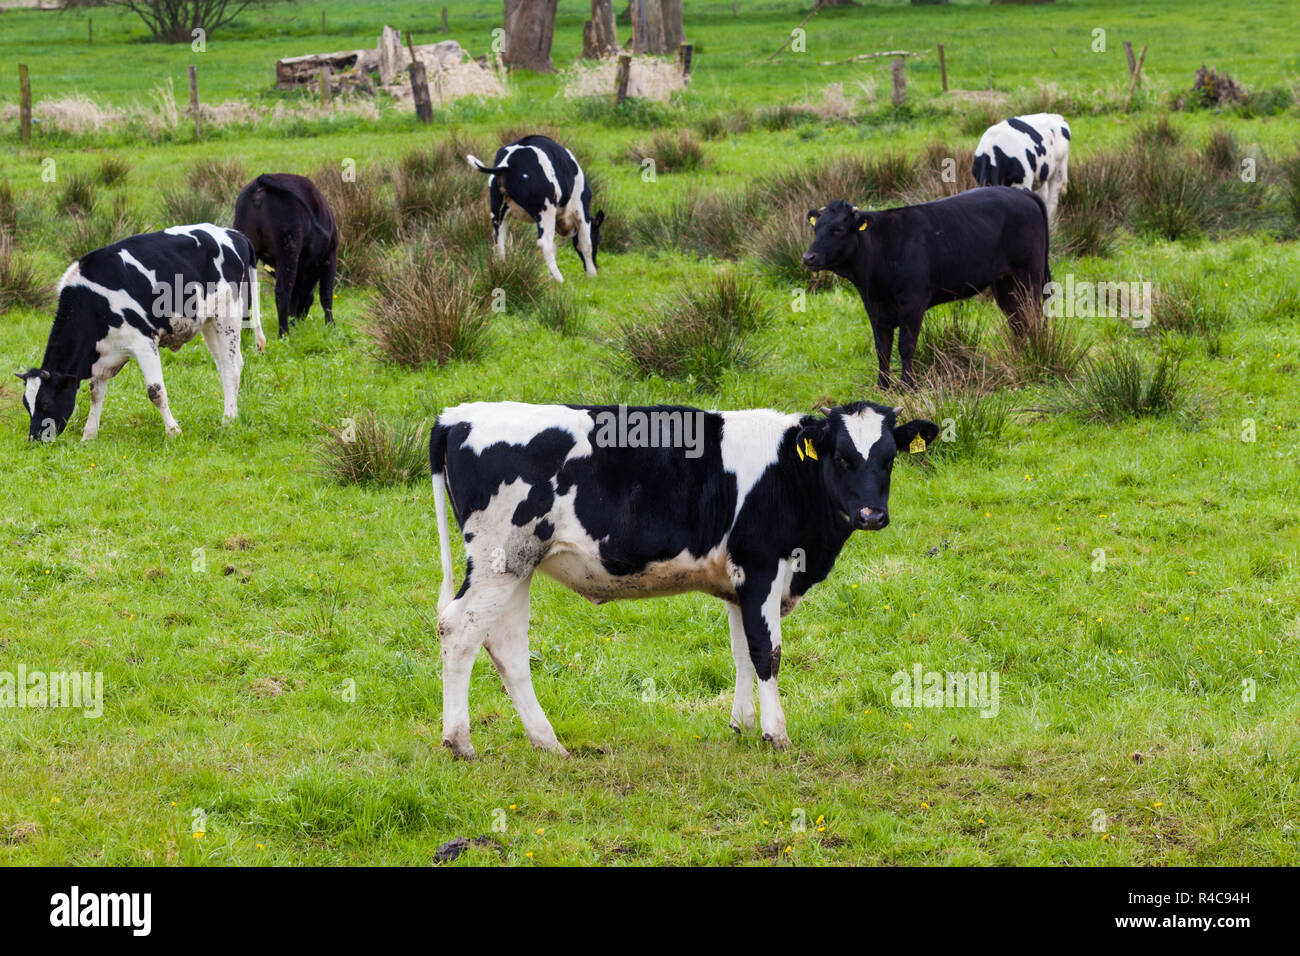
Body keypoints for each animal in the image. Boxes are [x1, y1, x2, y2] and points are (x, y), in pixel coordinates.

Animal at [17, 224, 263, 442]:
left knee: (232, 367)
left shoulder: (144, 342)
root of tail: (234, 234)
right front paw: (89, 435)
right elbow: (96, 392)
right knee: (224, 365)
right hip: (209, 323)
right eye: (26, 404)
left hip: (228, 314)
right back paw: (231, 415)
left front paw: (173, 432)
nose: (34, 439)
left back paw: (228, 420)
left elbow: (155, 391)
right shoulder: (102, 352)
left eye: (45, 402)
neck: (95, 302)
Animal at [232, 173, 338, 337]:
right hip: (288, 249)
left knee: (246, 290)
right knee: (282, 291)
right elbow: (326, 295)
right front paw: (331, 326)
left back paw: (246, 333)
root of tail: (261, 182)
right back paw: (283, 334)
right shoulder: (330, 257)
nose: (300, 319)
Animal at [429, 399, 938, 758]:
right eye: (842, 458)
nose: (872, 515)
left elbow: (741, 652)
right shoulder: (761, 567)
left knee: (507, 647)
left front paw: (742, 725)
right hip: (499, 559)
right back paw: (460, 742)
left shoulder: (737, 583)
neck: (789, 476)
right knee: (459, 629)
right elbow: (767, 652)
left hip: (518, 564)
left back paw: (548, 743)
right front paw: (775, 733)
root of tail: (459, 415)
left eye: (889, 458)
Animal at [465, 135, 604, 283]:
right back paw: (560, 279)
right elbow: (586, 243)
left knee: (499, 243)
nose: (596, 266)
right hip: (547, 209)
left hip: (498, 213)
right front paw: (592, 275)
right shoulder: (581, 210)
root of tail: (506, 165)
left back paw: (502, 271)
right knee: (545, 243)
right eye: (599, 238)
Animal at [802, 187, 1051, 389]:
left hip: (1029, 274)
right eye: (816, 228)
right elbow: (882, 348)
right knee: (1017, 319)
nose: (808, 257)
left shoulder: (912, 303)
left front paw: (907, 385)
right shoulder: (874, 306)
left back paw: (1035, 352)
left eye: (838, 229)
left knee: (1033, 315)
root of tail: (1021, 192)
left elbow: (906, 346)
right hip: (1004, 282)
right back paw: (1019, 355)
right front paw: (882, 386)